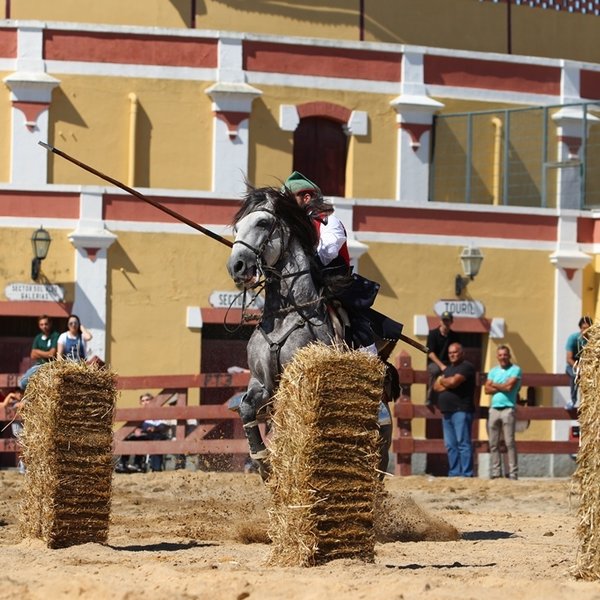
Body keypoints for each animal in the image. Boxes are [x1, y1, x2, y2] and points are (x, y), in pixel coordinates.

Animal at [226, 186, 394, 478]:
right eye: (237, 227)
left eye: (262, 223)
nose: (236, 266)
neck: (285, 315)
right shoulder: (261, 383)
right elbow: (247, 408)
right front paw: (263, 460)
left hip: (381, 449)